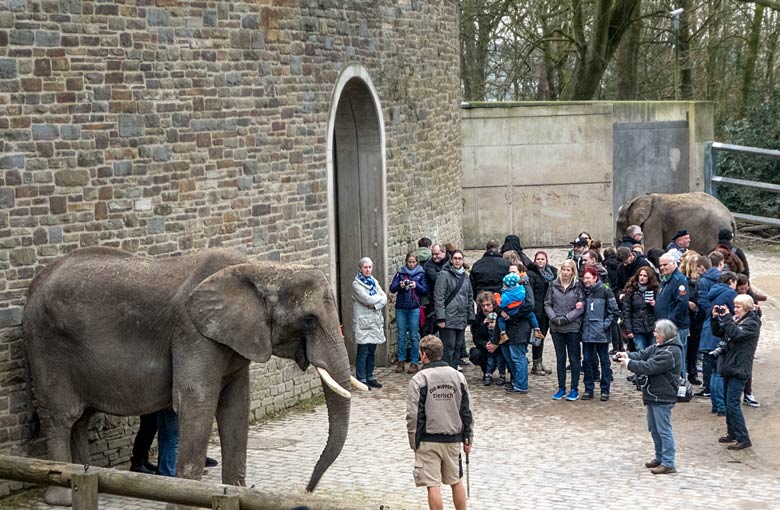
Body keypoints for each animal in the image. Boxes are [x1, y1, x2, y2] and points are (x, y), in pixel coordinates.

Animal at [22, 247, 362, 506]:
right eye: (309, 320)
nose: (309, 489)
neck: (258, 268)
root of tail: (34, 284)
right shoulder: (193, 333)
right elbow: (197, 402)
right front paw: (187, 498)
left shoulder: (233, 341)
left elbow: (236, 405)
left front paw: (237, 493)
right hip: (46, 346)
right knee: (62, 417)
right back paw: (62, 495)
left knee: (80, 420)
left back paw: (88, 476)